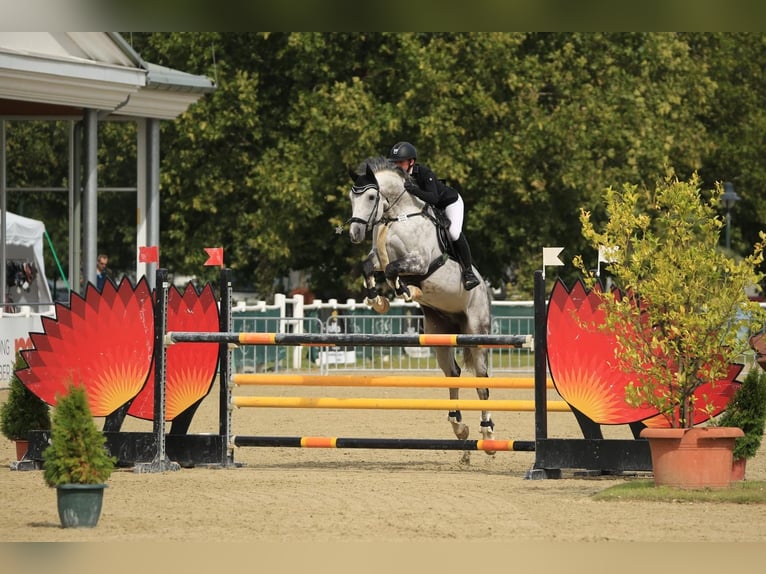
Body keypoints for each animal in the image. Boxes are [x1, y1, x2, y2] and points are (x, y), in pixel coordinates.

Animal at [350, 156, 498, 454]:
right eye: (351, 197)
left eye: (371, 196)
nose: (355, 232)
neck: (399, 215)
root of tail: (485, 290)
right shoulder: (378, 257)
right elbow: (369, 266)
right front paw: (378, 300)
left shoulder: (418, 261)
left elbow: (394, 269)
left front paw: (405, 290)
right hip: (440, 333)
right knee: (452, 372)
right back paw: (458, 425)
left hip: (477, 331)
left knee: (481, 379)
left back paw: (487, 434)